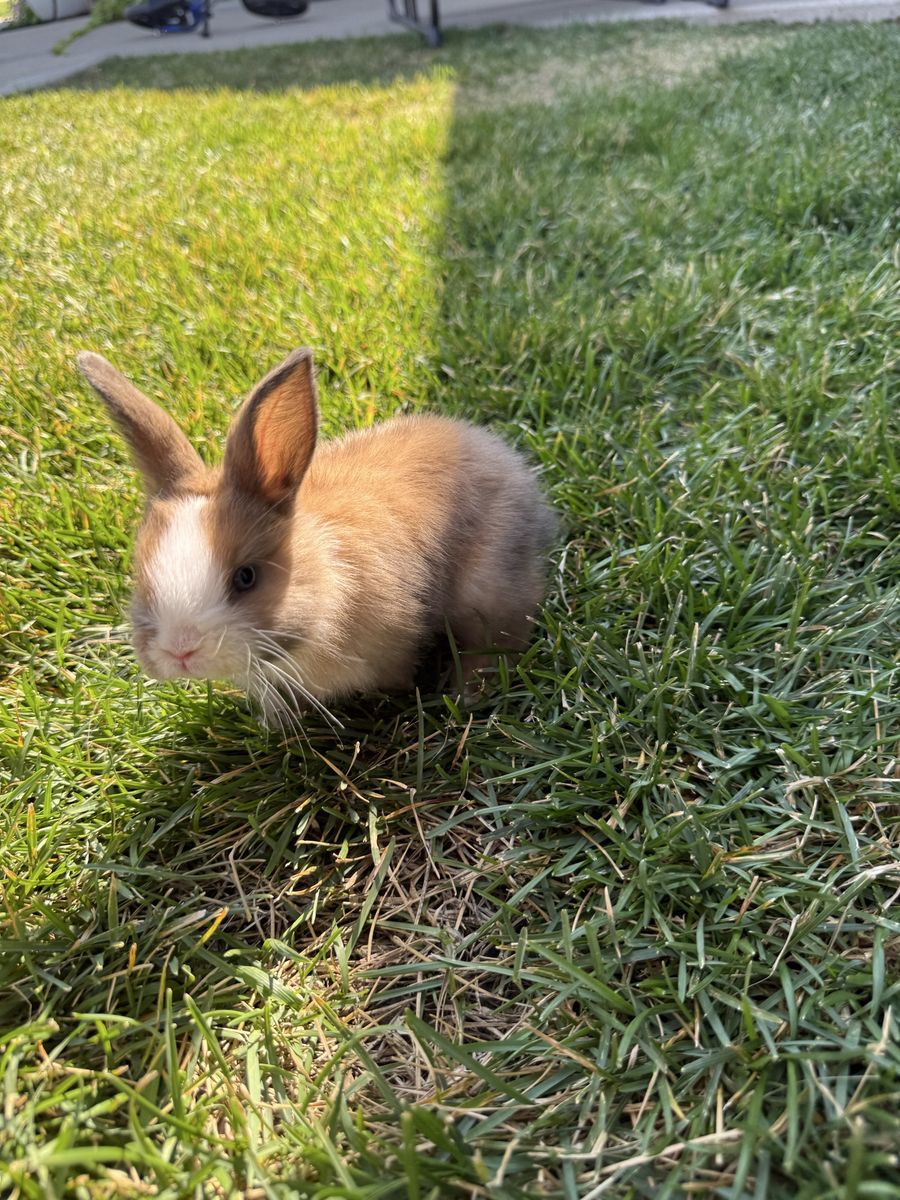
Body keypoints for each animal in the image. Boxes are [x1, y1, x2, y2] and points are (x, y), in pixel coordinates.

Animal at [76, 347, 557, 728]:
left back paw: (466, 694)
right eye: (140, 577)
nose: (181, 651)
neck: (328, 577)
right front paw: (276, 724)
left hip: (488, 593)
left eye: (246, 577)